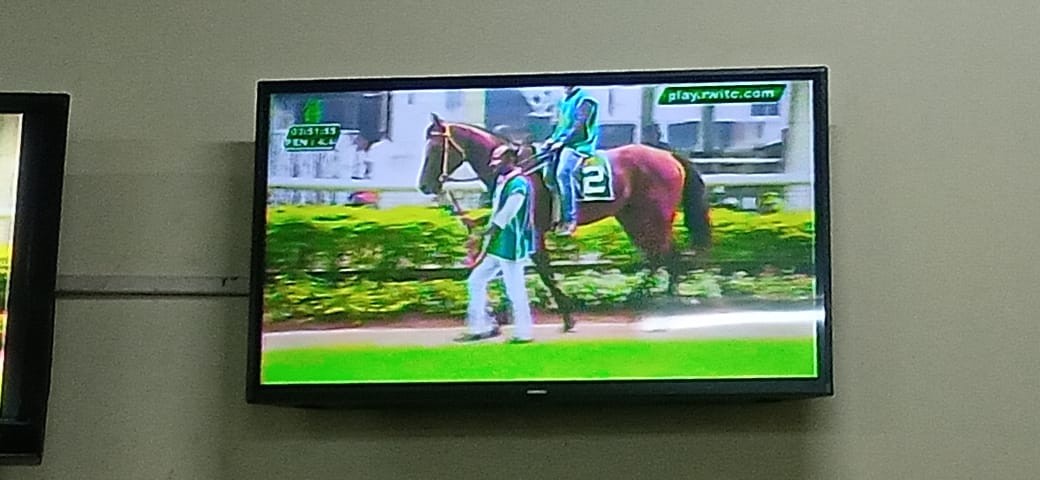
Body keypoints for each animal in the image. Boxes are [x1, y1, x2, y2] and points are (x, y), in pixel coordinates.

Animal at [418, 114, 712, 332]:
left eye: (436, 148)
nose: (424, 185)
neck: (520, 169)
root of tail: (671, 156)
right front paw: (502, 316)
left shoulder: (533, 230)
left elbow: (542, 270)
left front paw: (567, 315)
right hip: (632, 217)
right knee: (662, 256)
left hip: (651, 218)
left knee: (665, 256)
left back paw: (647, 298)